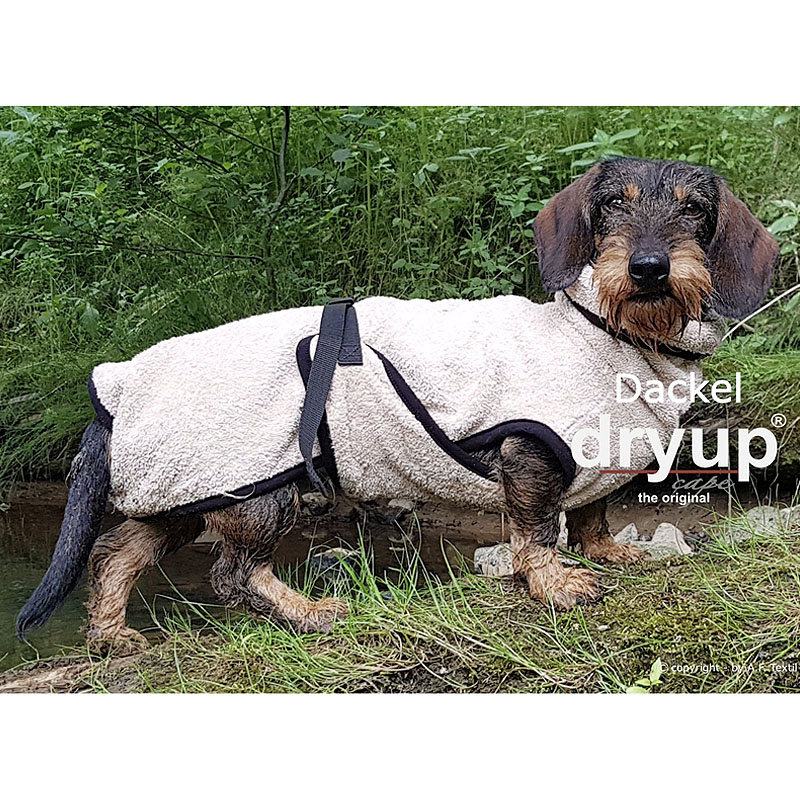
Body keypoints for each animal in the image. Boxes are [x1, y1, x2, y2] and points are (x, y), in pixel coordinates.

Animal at [17, 156, 776, 648]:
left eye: (693, 208)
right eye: (612, 203)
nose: (648, 268)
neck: (613, 335)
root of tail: (118, 384)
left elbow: (592, 514)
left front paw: (612, 553)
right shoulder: (530, 453)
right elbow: (537, 531)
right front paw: (556, 584)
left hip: (185, 492)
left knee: (116, 549)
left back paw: (111, 634)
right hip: (256, 489)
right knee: (232, 574)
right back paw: (311, 613)